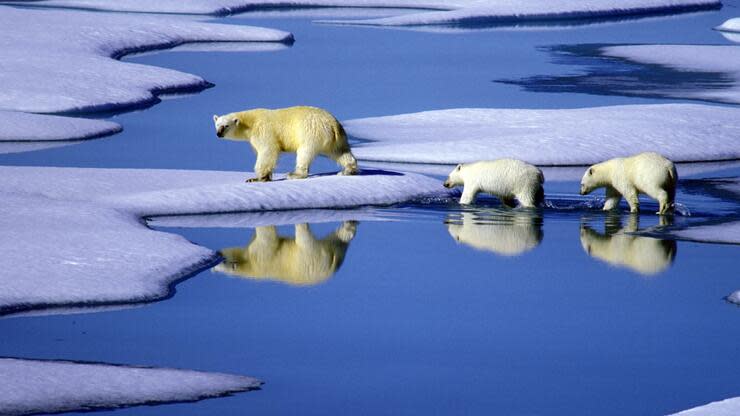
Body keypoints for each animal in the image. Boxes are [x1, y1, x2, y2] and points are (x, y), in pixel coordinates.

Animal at [212, 221, 356, 286]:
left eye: (222, 262)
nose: (212, 269)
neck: (251, 267)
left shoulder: (261, 256)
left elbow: (267, 238)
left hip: (311, 258)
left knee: (304, 239)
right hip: (334, 251)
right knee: (339, 239)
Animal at [214, 105, 358, 181]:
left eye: (226, 126)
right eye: (217, 124)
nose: (218, 134)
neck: (250, 122)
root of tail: (333, 124)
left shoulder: (263, 131)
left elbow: (268, 151)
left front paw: (256, 178)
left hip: (311, 132)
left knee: (304, 153)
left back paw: (294, 174)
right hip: (337, 138)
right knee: (340, 152)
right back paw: (347, 170)